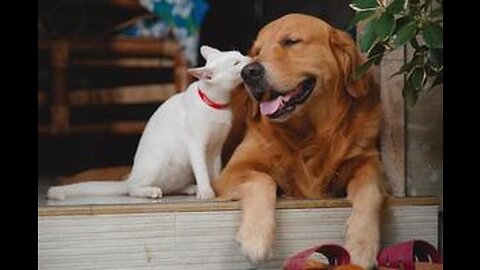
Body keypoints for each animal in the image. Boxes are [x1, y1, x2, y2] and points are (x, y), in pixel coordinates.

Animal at [48, 45, 251, 199]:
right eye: (236, 63)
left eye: (240, 55)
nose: (249, 59)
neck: (217, 105)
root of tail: (130, 177)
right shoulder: (196, 144)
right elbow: (201, 170)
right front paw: (206, 191)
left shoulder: (216, 149)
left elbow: (215, 171)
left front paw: (216, 187)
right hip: (159, 157)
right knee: (132, 189)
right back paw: (151, 191)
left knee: (170, 187)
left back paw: (188, 189)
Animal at [214, 13, 386, 268]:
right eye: (257, 51)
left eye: (291, 41)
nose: (249, 72)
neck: (309, 134)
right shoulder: (231, 171)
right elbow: (262, 179)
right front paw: (256, 238)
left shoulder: (368, 160)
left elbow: (371, 191)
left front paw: (363, 245)